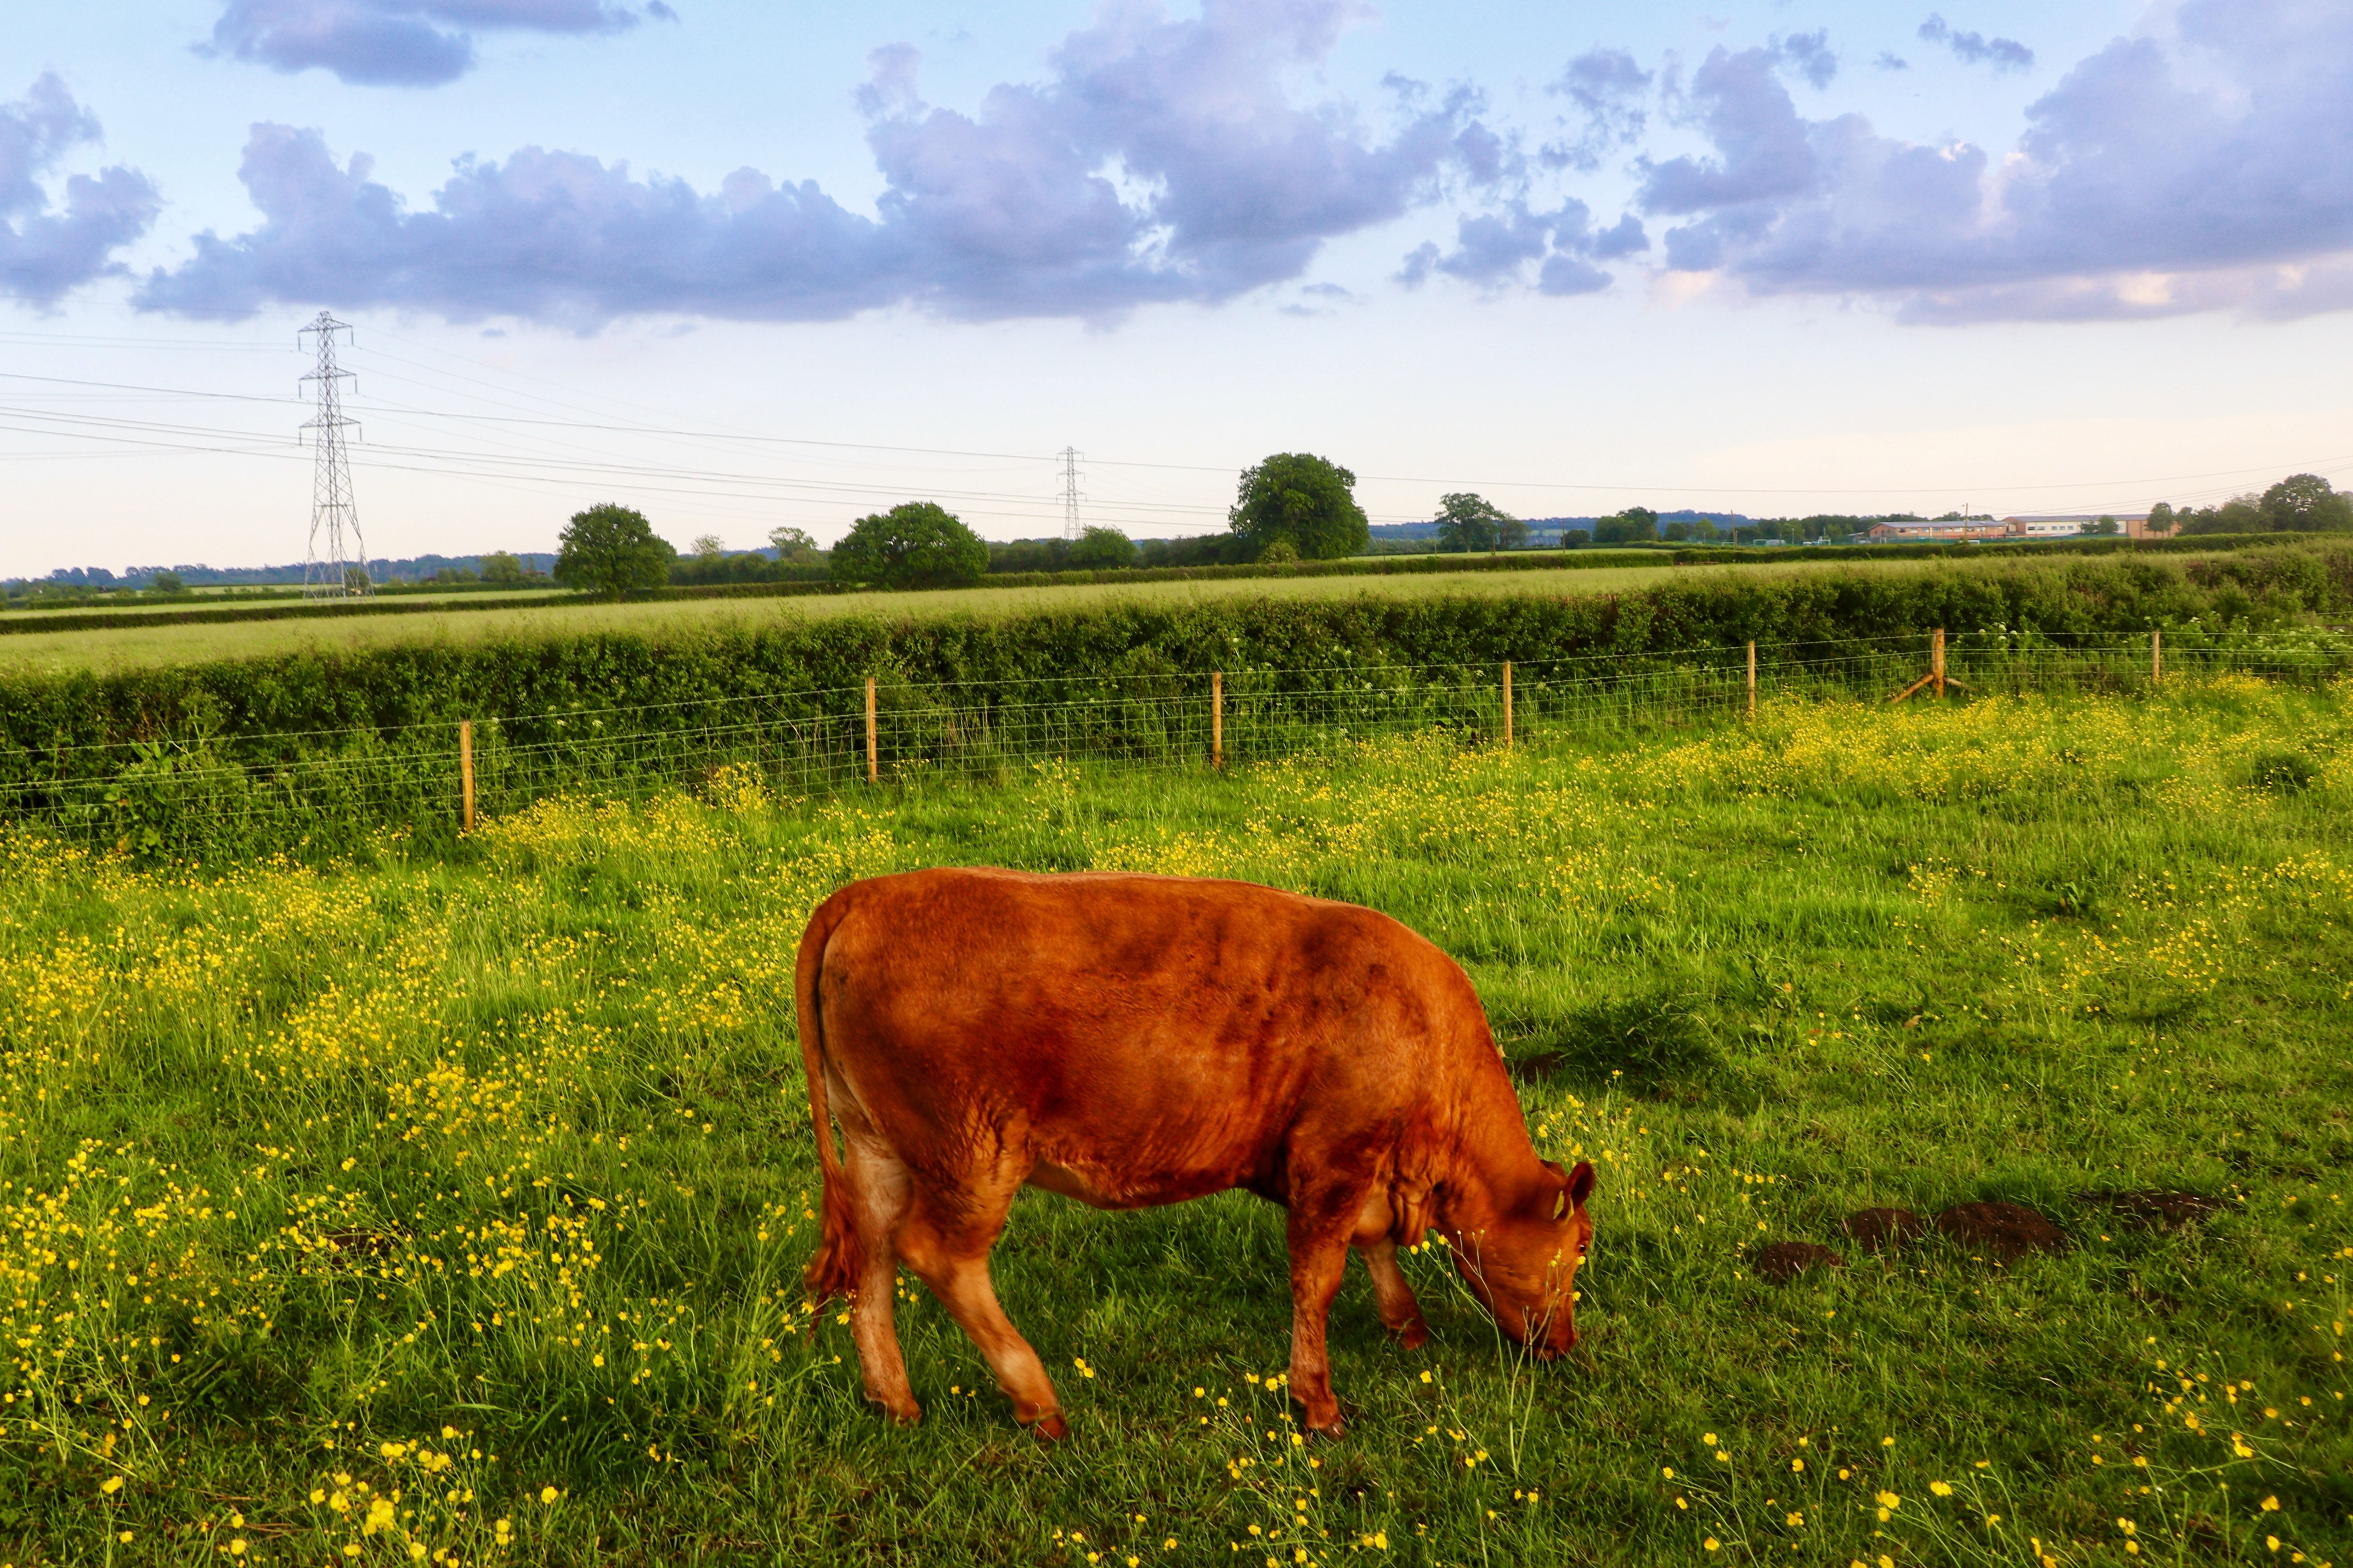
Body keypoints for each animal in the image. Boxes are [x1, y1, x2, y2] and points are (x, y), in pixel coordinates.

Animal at [796, 867, 1596, 1439]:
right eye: (1575, 1251)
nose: (1562, 1343)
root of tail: (864, 894)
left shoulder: (1354, 1166)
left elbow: (1370, 1246)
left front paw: (1406, 1324)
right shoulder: (1333, 1156)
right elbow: (1318, 1279)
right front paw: (1318, 1400)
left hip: (875, 1140)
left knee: (872, 1254)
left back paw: (894, 1398)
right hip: (973, 1153)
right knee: (938, 1255)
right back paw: (1036, 1396)